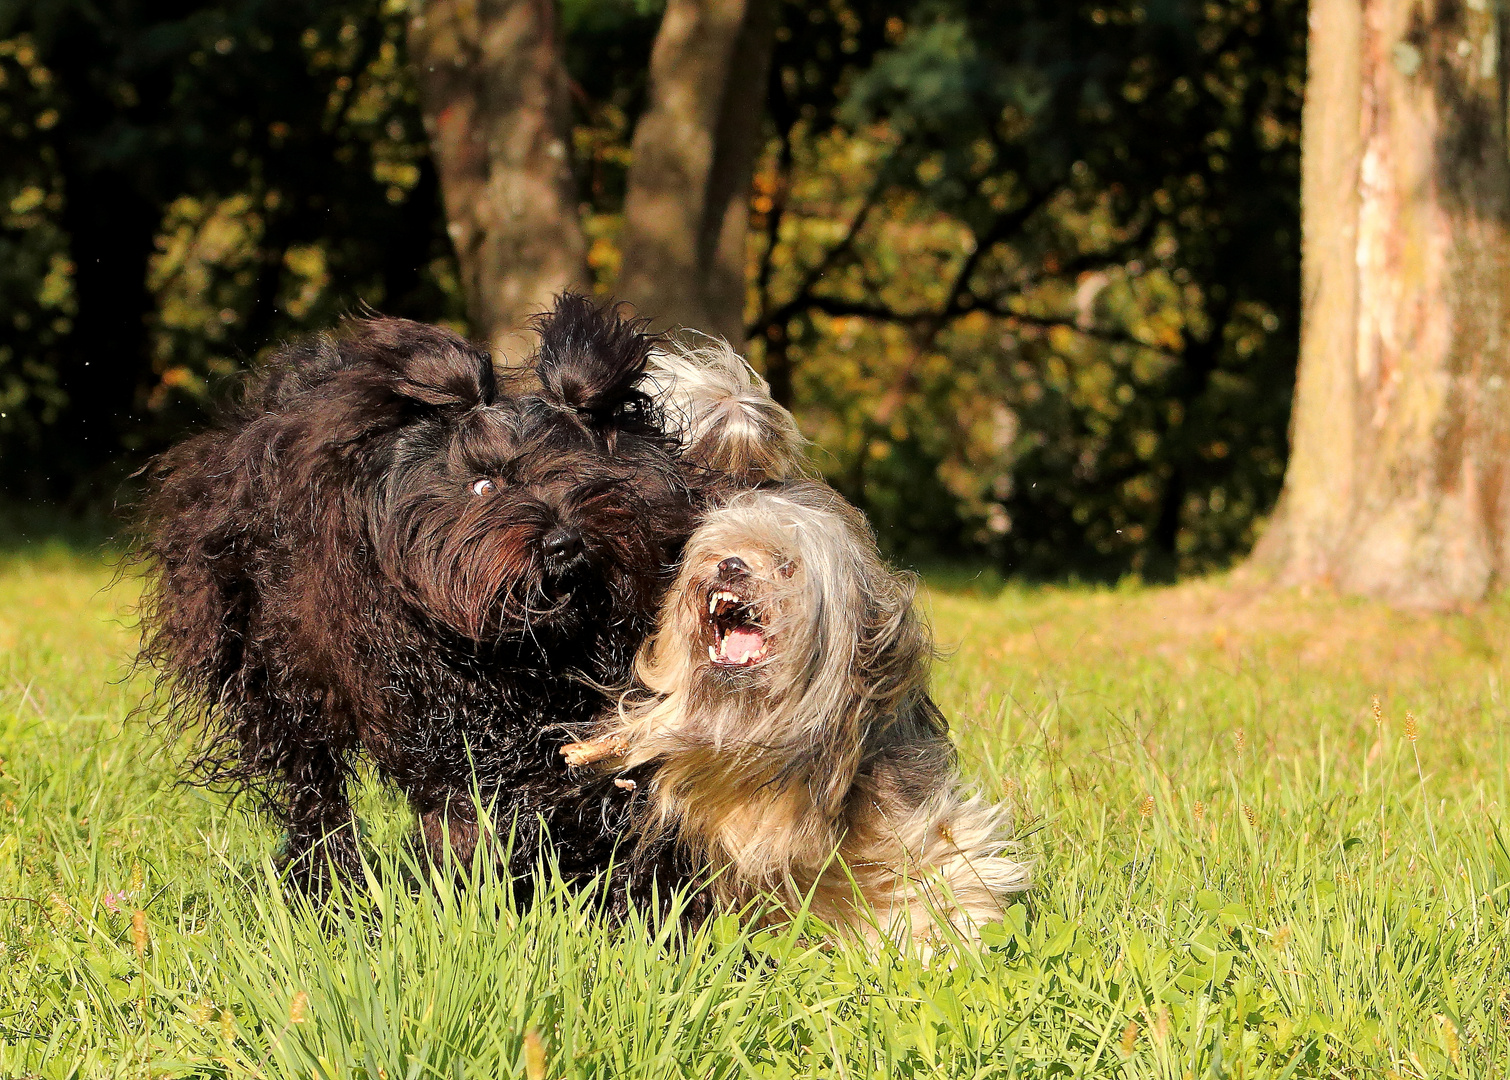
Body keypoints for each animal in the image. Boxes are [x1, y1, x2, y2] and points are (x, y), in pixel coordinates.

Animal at [138, 296, 703, 906]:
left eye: (582, 478)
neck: (522, 652)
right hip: (278, 675)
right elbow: (462, 797)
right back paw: (326, 881)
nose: (564, 542)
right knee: (312, 782)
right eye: (484, 486)